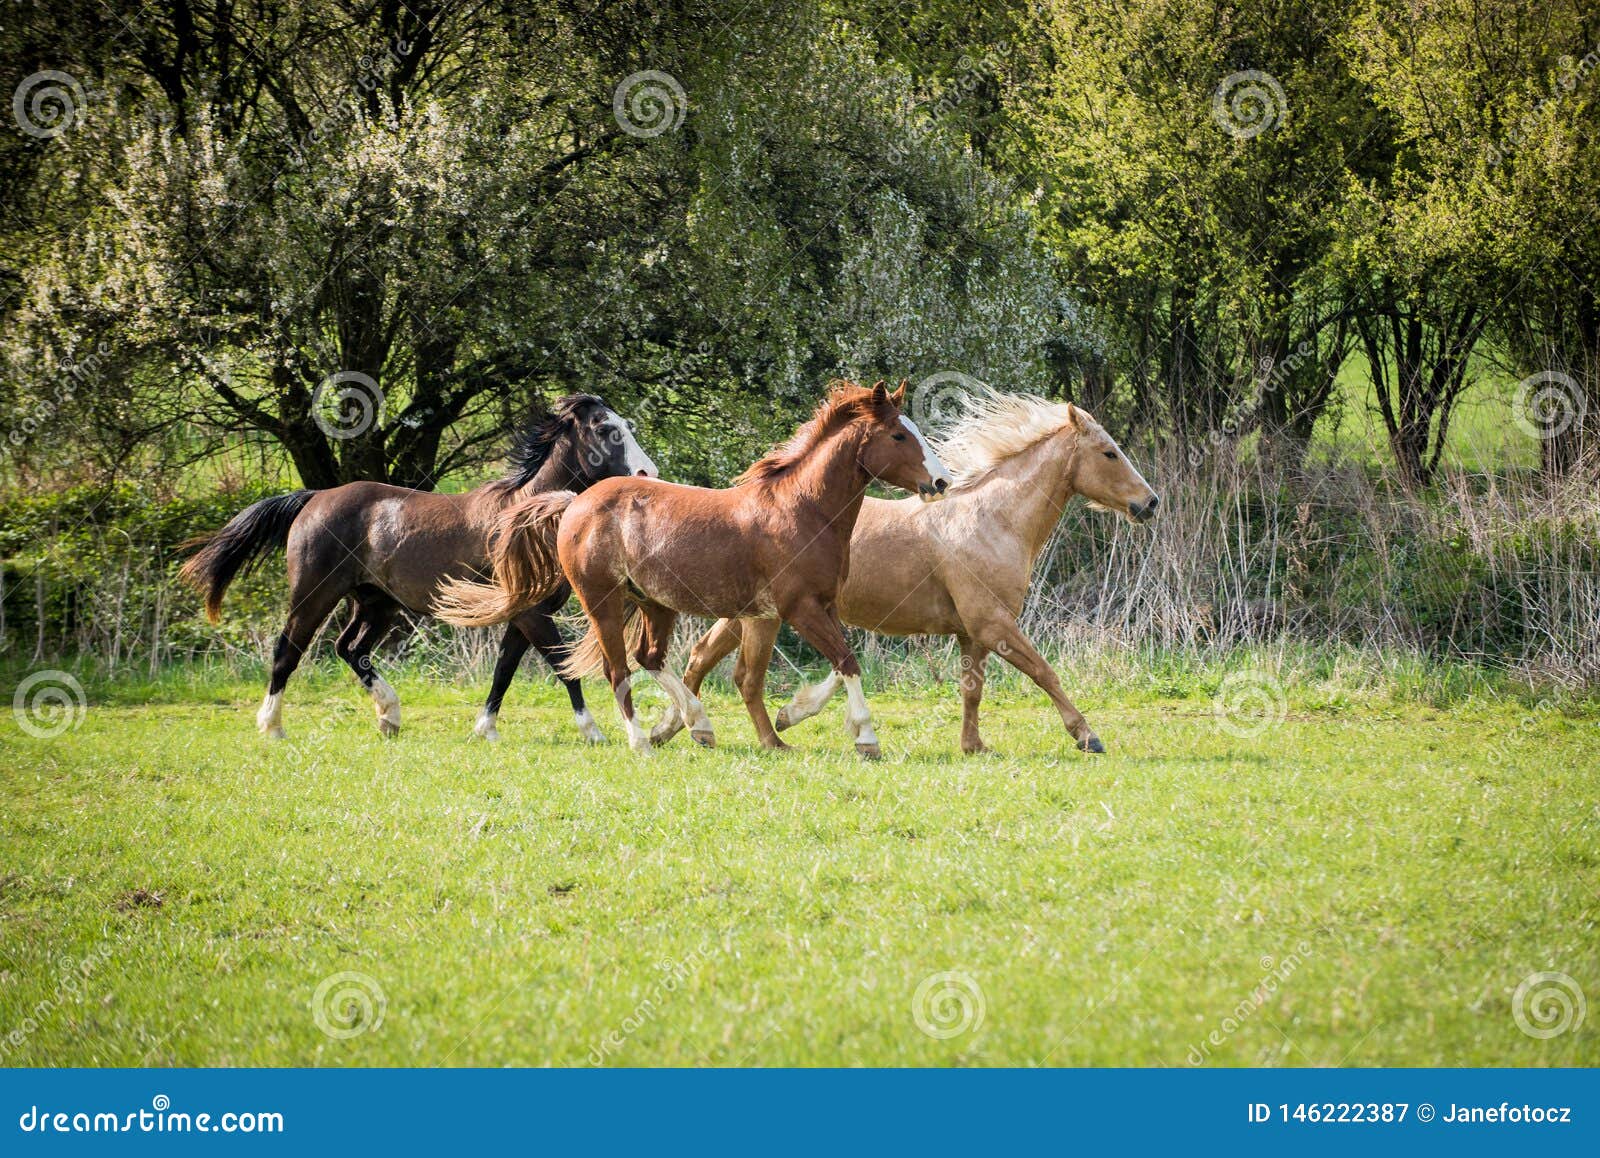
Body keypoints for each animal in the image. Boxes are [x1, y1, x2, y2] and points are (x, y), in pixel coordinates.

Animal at [178, 394, 657, 741]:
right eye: (605, 429)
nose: (647, 474)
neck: (529, 516)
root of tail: (314, 498)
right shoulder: (531, 613)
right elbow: (561, 665)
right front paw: (593, 732)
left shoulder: (521, 614)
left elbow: (504, 670)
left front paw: (484, 730)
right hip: (314, 594)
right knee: (287, 652)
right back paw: (273, 727)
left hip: (376, 603)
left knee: (350, 649)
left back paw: (389, 717)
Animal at [433, 380, 953, 758]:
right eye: (899, 435)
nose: (941, 481)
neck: (800, 511)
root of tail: (575, 501)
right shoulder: (799, 609)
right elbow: (845, 662)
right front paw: (866, 738)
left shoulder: (800, 610)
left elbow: (816, 668)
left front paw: (783, 727)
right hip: (603, 601)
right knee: (618, 669)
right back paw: (642, 742)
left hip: (655, 603)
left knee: (650, 658)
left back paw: (697, 725)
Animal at [657, 389, 1158, 754]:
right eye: (1109, 453)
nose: (1149, 503)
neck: (991, 520)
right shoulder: (992, 623)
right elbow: (1044, 672)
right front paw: (1087, 736)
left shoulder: (972, 632)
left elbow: (971, 688)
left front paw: (973, 746)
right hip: (764, 617)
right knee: (736, 672)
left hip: (747, 611)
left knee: (701, 657)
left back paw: (678, 728)